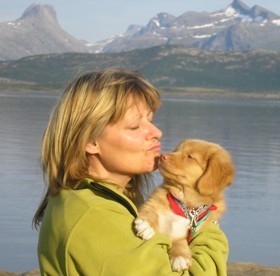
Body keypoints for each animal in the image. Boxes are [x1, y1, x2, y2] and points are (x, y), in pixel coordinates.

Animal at [134, 139, 234, 272]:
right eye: (176, 151)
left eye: (190, 156)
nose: (162, 156)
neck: (186, 204)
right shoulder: (153, 202)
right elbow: (150, 210)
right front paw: (147, 225)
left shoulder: (183, 232)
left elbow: (180, 241)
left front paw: (180, 256)